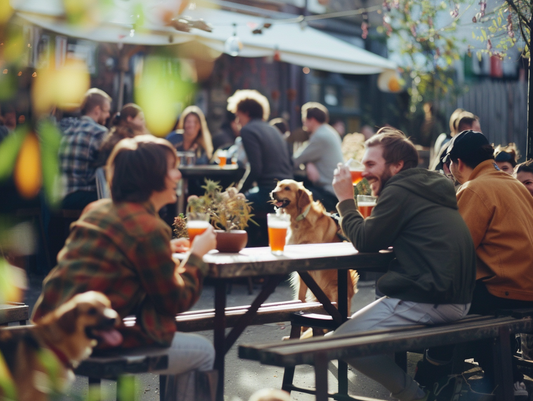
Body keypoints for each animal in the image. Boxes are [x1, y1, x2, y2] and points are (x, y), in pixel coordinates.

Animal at [270, 178, 358, 332]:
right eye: (277, 186)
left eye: (287, 188)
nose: (273, 193)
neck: (299, 220)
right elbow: (300, 297)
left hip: (334, 290)